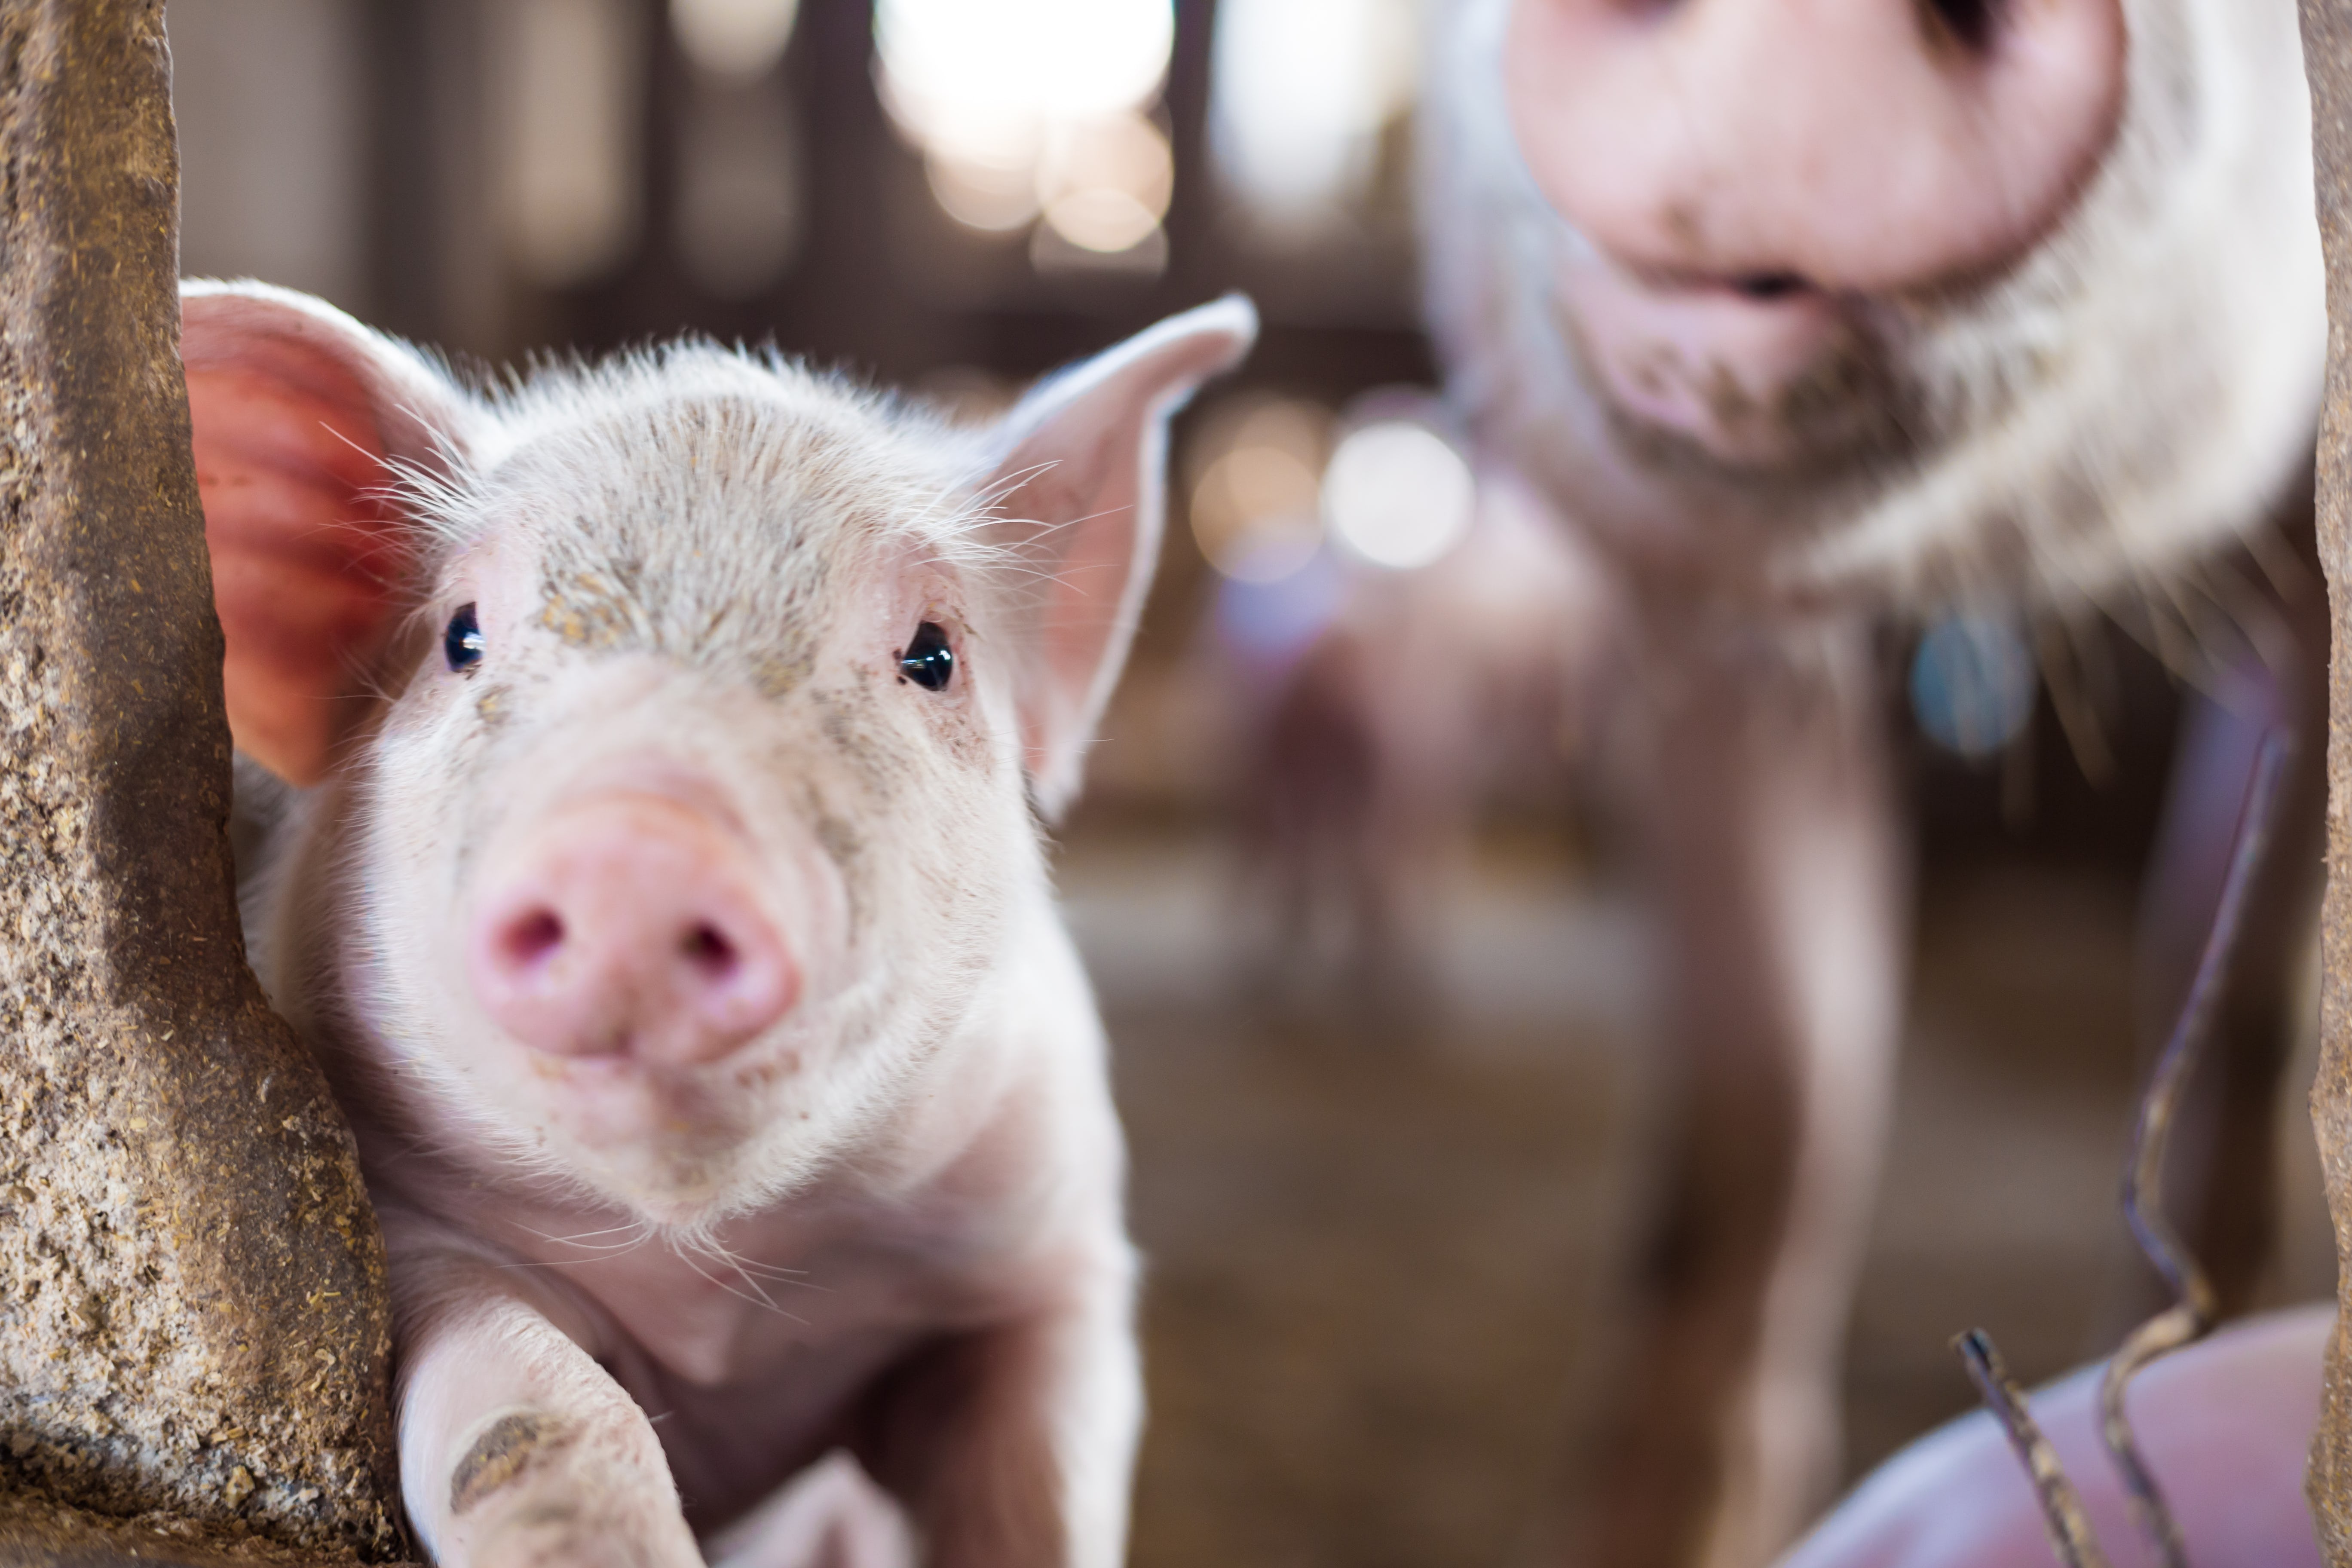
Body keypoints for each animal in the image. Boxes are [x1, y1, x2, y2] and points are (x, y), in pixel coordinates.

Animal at [181, 279, 1256, 1568]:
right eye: (461, 637)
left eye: (932, 655)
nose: (639, 847)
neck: (720, 1303)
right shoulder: (420, 1239)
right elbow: (537, 1418)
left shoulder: (1051, 1257)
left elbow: (1036, 1494)